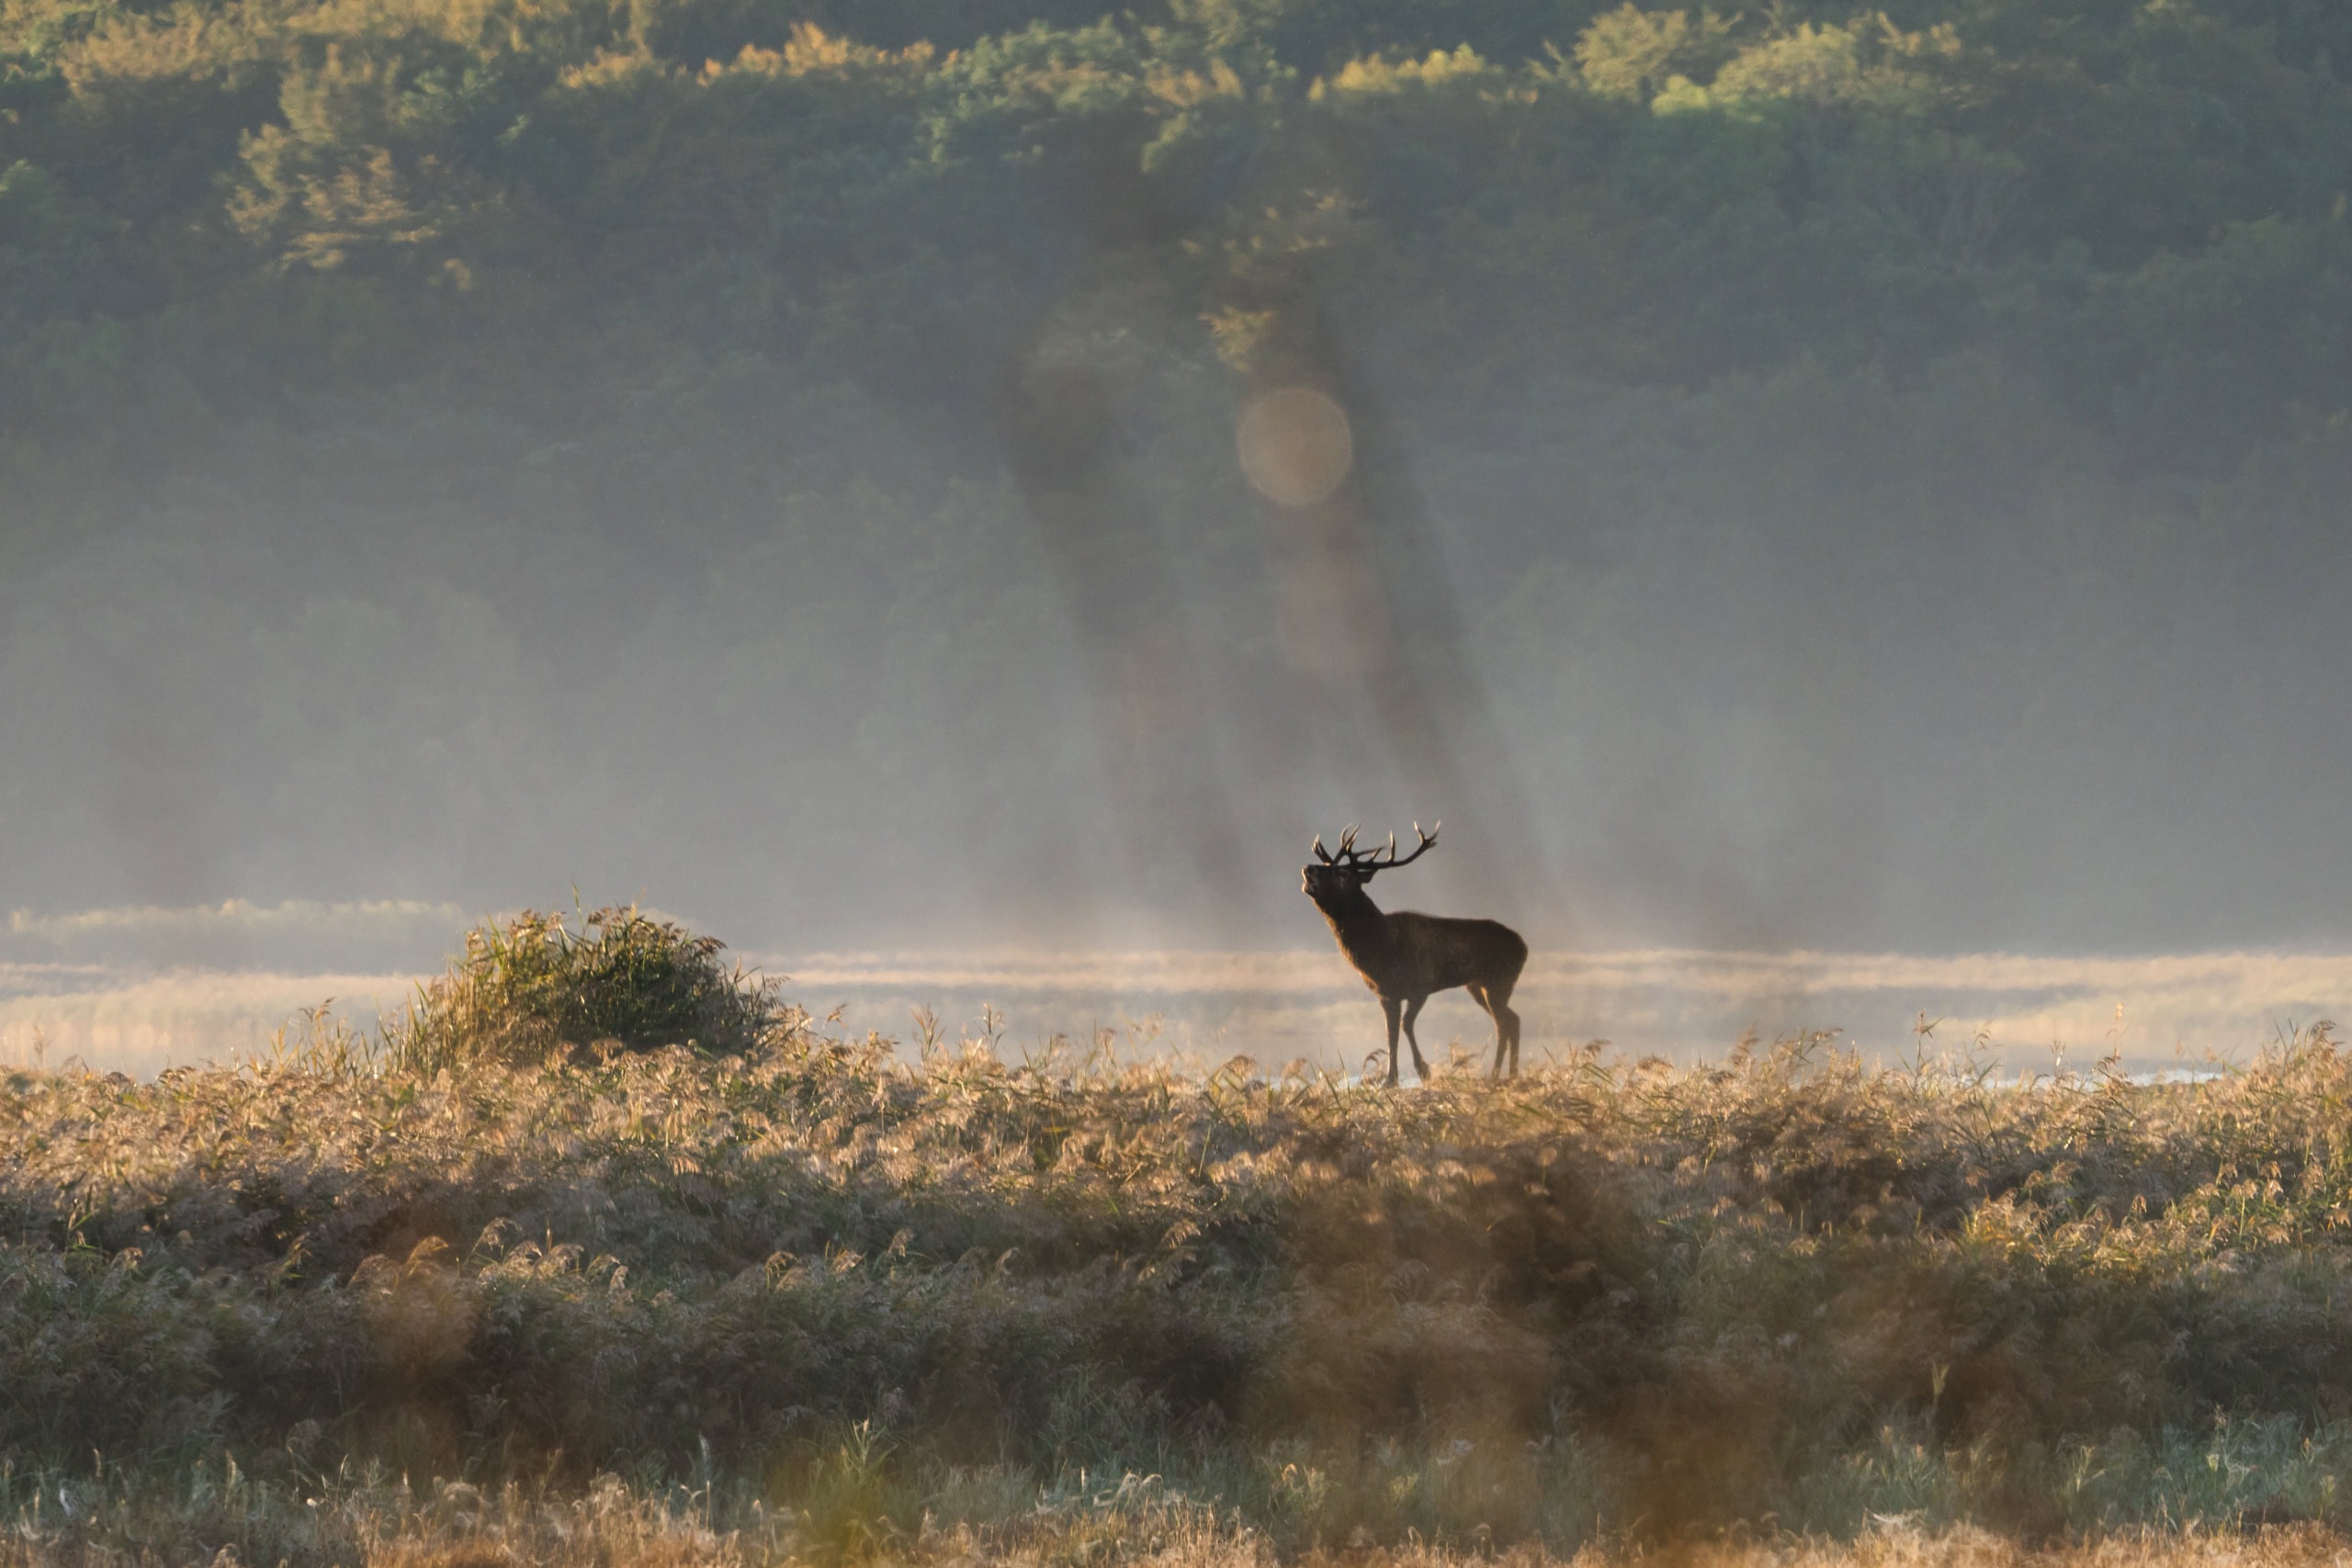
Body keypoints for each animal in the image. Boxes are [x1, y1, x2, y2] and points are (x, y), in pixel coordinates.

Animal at [1302, 823, 1528, 1085]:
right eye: (1328, 866)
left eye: (1343, 873)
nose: (1308, 869)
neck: (1379, 947)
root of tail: (1524, 946)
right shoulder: (1385, 994)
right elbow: (1391, 1033)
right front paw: (1391, 1079)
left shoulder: (1421, 986)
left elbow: (1405, 1026)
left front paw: (1423, 1070)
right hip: (1477, 985)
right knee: (1513, 1020)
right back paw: (1512, 1073)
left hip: (1499, 982)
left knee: (1503, 1024)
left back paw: (1495, 1074)